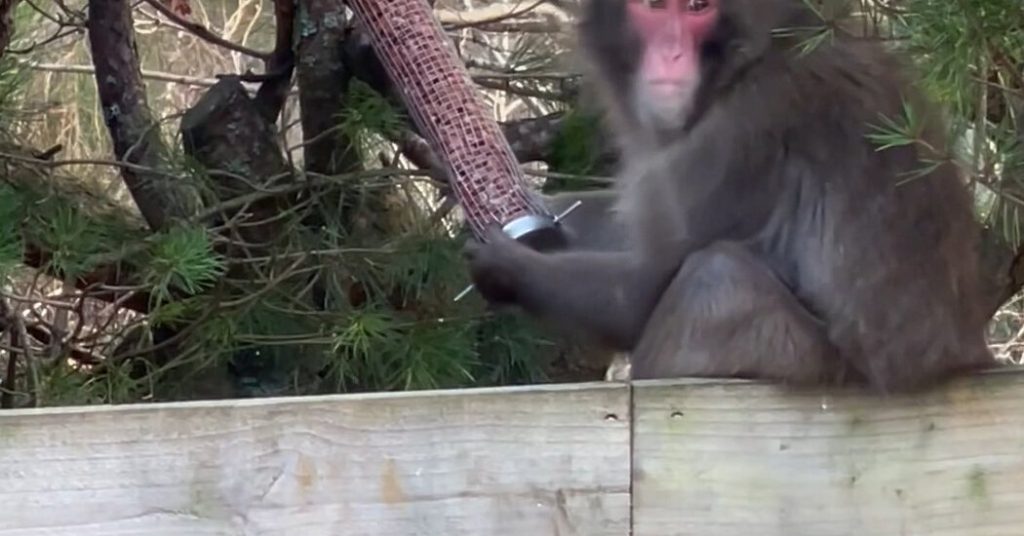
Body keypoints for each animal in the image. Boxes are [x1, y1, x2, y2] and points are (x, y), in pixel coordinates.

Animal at [465, 0, 996, 393]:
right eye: (654, 7)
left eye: (698, 7)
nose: (672, 53)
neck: (748, 59)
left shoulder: (746, 129)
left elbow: (642, 288)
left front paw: (505, 265)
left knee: (717, 279)